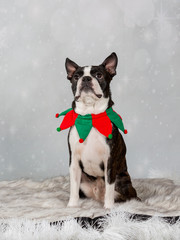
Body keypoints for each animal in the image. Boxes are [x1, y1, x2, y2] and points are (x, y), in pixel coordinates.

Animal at [65, 52, 138, 208]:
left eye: (99, 75)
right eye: (76, 77)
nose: (86, 78)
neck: (91, 117)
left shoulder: (109, 161)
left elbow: (109, 187)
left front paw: (108, 208)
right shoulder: (74, 161)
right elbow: (73, 186)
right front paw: (72, 206)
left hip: (123, 182)